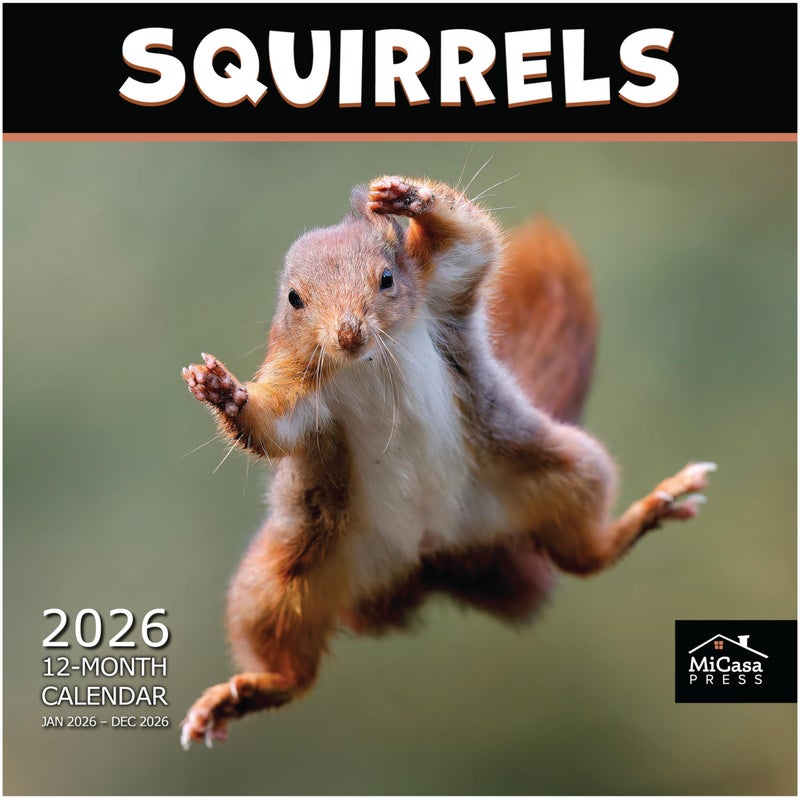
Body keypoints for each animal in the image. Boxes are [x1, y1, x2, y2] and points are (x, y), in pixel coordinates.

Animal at [179, 175, 715, 749]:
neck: (367, 361)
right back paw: (243, 693)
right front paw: (225, 394)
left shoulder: (442, 290)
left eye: (387, 278)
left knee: (585, 555)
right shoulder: (296, 380)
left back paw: (655, 506)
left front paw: (407, 198)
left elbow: (473, 244)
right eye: (294, 299)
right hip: (284, 575)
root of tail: (432, 556)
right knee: (295, 671)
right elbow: (273, 429)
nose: (348, 333)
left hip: (559, 469)